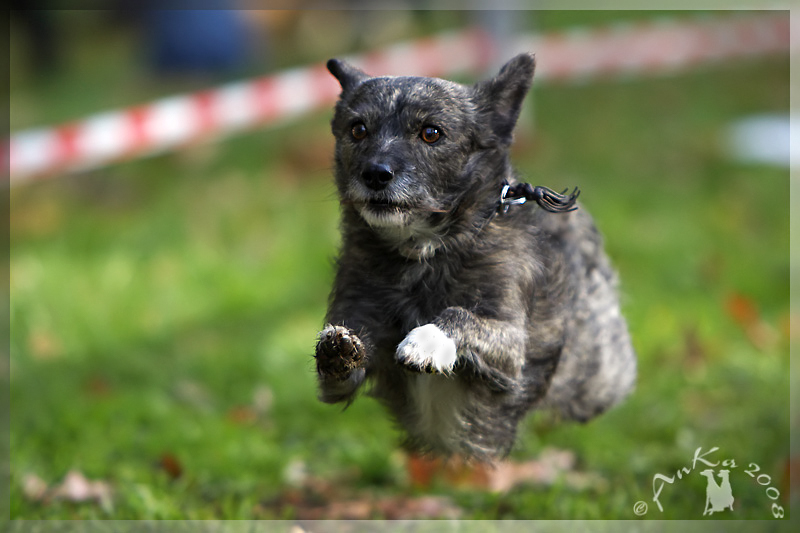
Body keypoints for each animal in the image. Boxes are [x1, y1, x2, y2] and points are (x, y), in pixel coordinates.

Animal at [316, 54, 636, 462]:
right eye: (357, 130)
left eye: (431, 133)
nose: (375, 173)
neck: (423, 255)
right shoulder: (350, 345)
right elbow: (342, 360)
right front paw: (336, 349)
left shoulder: (511, 348)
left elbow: (460, 315)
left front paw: (428, 340)